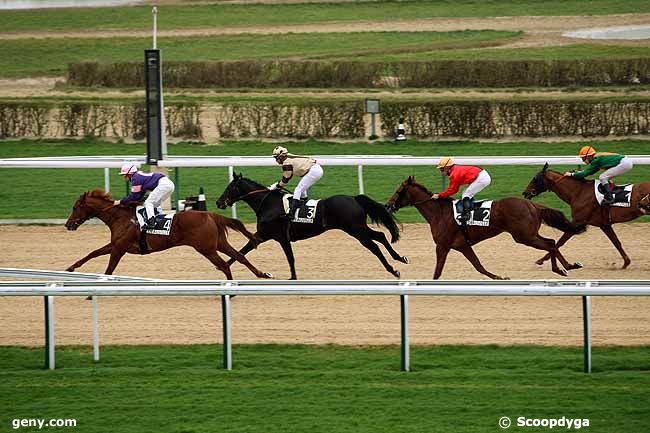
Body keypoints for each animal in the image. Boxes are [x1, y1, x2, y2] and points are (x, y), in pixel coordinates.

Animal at [64, 189, 270, 280]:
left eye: (74, 207)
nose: (68, 224)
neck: (120, 217)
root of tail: (211, 214)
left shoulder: (119, 248)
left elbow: (109, 269)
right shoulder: (115, 244)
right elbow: (93, 253)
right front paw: (70, 268)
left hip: (206, 248)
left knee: (225, 265)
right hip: (218, 243)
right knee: (240, 256)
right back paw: (262, 274)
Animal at [215, 174, 404, 278]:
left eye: (230, 187)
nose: (219, 202)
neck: (268, 204)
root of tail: (354, 198)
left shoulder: (277, 236)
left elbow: (289, 257)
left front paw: (293, 278)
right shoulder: (264, 235)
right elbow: (243, 250)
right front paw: (221, 265)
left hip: (356, 230)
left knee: (374, 246)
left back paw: (393, 270)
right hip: (358, 228)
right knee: (380, 236)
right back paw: (400, 258)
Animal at [382, 176, 584, 280]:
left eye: (399, 191)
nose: (387, 205)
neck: (439, 213)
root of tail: (533, 204)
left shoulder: (442, 246)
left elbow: (438, 272)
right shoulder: (462, 245)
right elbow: (478, 265)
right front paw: (499, 277)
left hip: (524, 236)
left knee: (550, 244)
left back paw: (563, 268)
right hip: (528, 234)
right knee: (552, 242)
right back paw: (566, 266)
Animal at [520, 164, 648, 268]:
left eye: (535, 179)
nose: (525, 193)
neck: (579, 192)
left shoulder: (578, 221)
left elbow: (560, 242)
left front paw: (541, 260)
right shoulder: (604, 224)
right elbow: (616, 242)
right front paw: (626, 262)